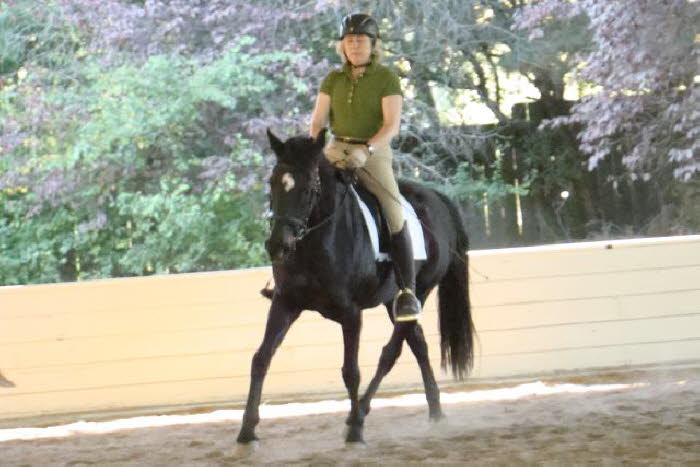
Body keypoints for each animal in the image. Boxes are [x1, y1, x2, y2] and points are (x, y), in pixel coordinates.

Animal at [237, 129, 476, 446]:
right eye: (273, 183)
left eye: (309, 189)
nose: (278, 246)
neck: (316, 241)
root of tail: (436, 197)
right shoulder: (285, 303)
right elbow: (260, 358)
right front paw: (247, 429)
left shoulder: (350, 313)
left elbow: (350, 371)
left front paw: (355, 432)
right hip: (392, 300)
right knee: (418, 343)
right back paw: (434, 411)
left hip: (420, 291)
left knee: (391, 351)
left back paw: (359, 414)